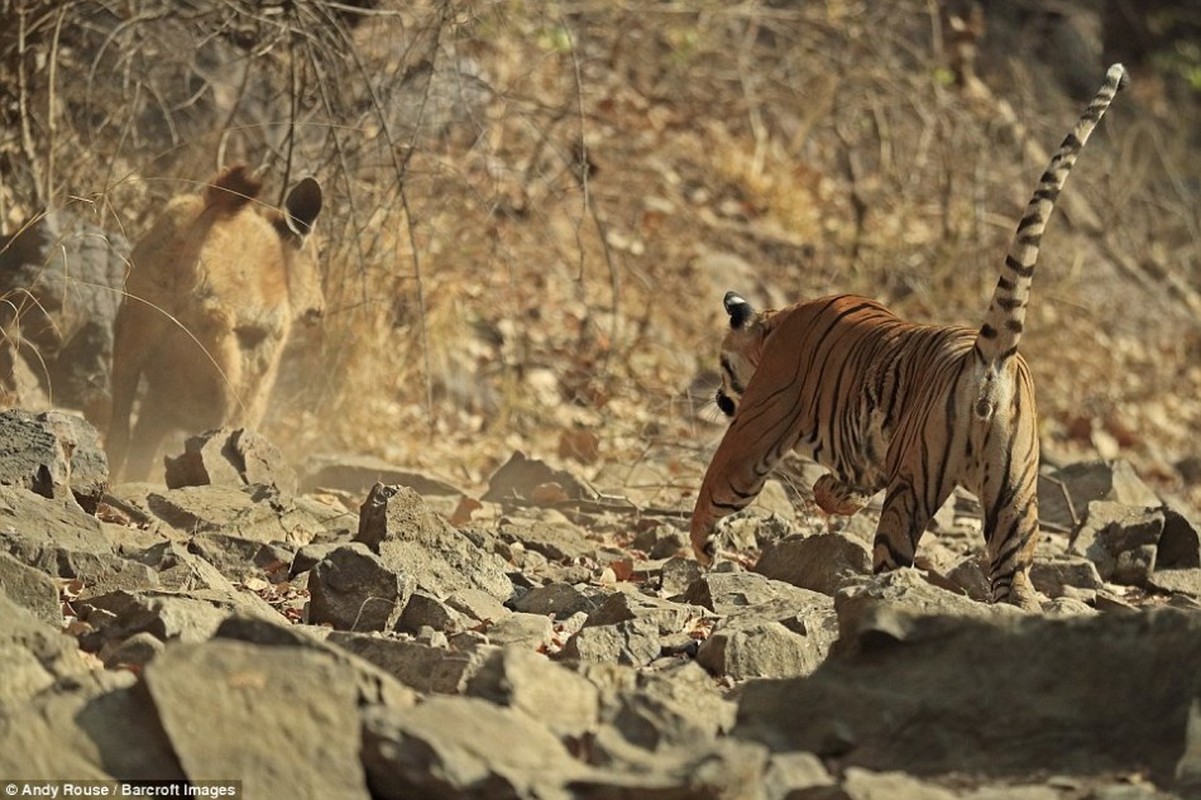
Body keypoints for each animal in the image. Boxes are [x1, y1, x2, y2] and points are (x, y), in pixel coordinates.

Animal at [691, 63, 1128, 610]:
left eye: (721, 365)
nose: (715, 397)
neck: (774, 325)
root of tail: (993, 356)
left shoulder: (759, 427)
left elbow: (718, 482)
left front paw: (702, 546)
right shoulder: (872, 460)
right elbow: (845, 485)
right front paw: (828, 494)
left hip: (913, 490)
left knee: (894, 556)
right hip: (1014, 500)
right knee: (1014, 580)